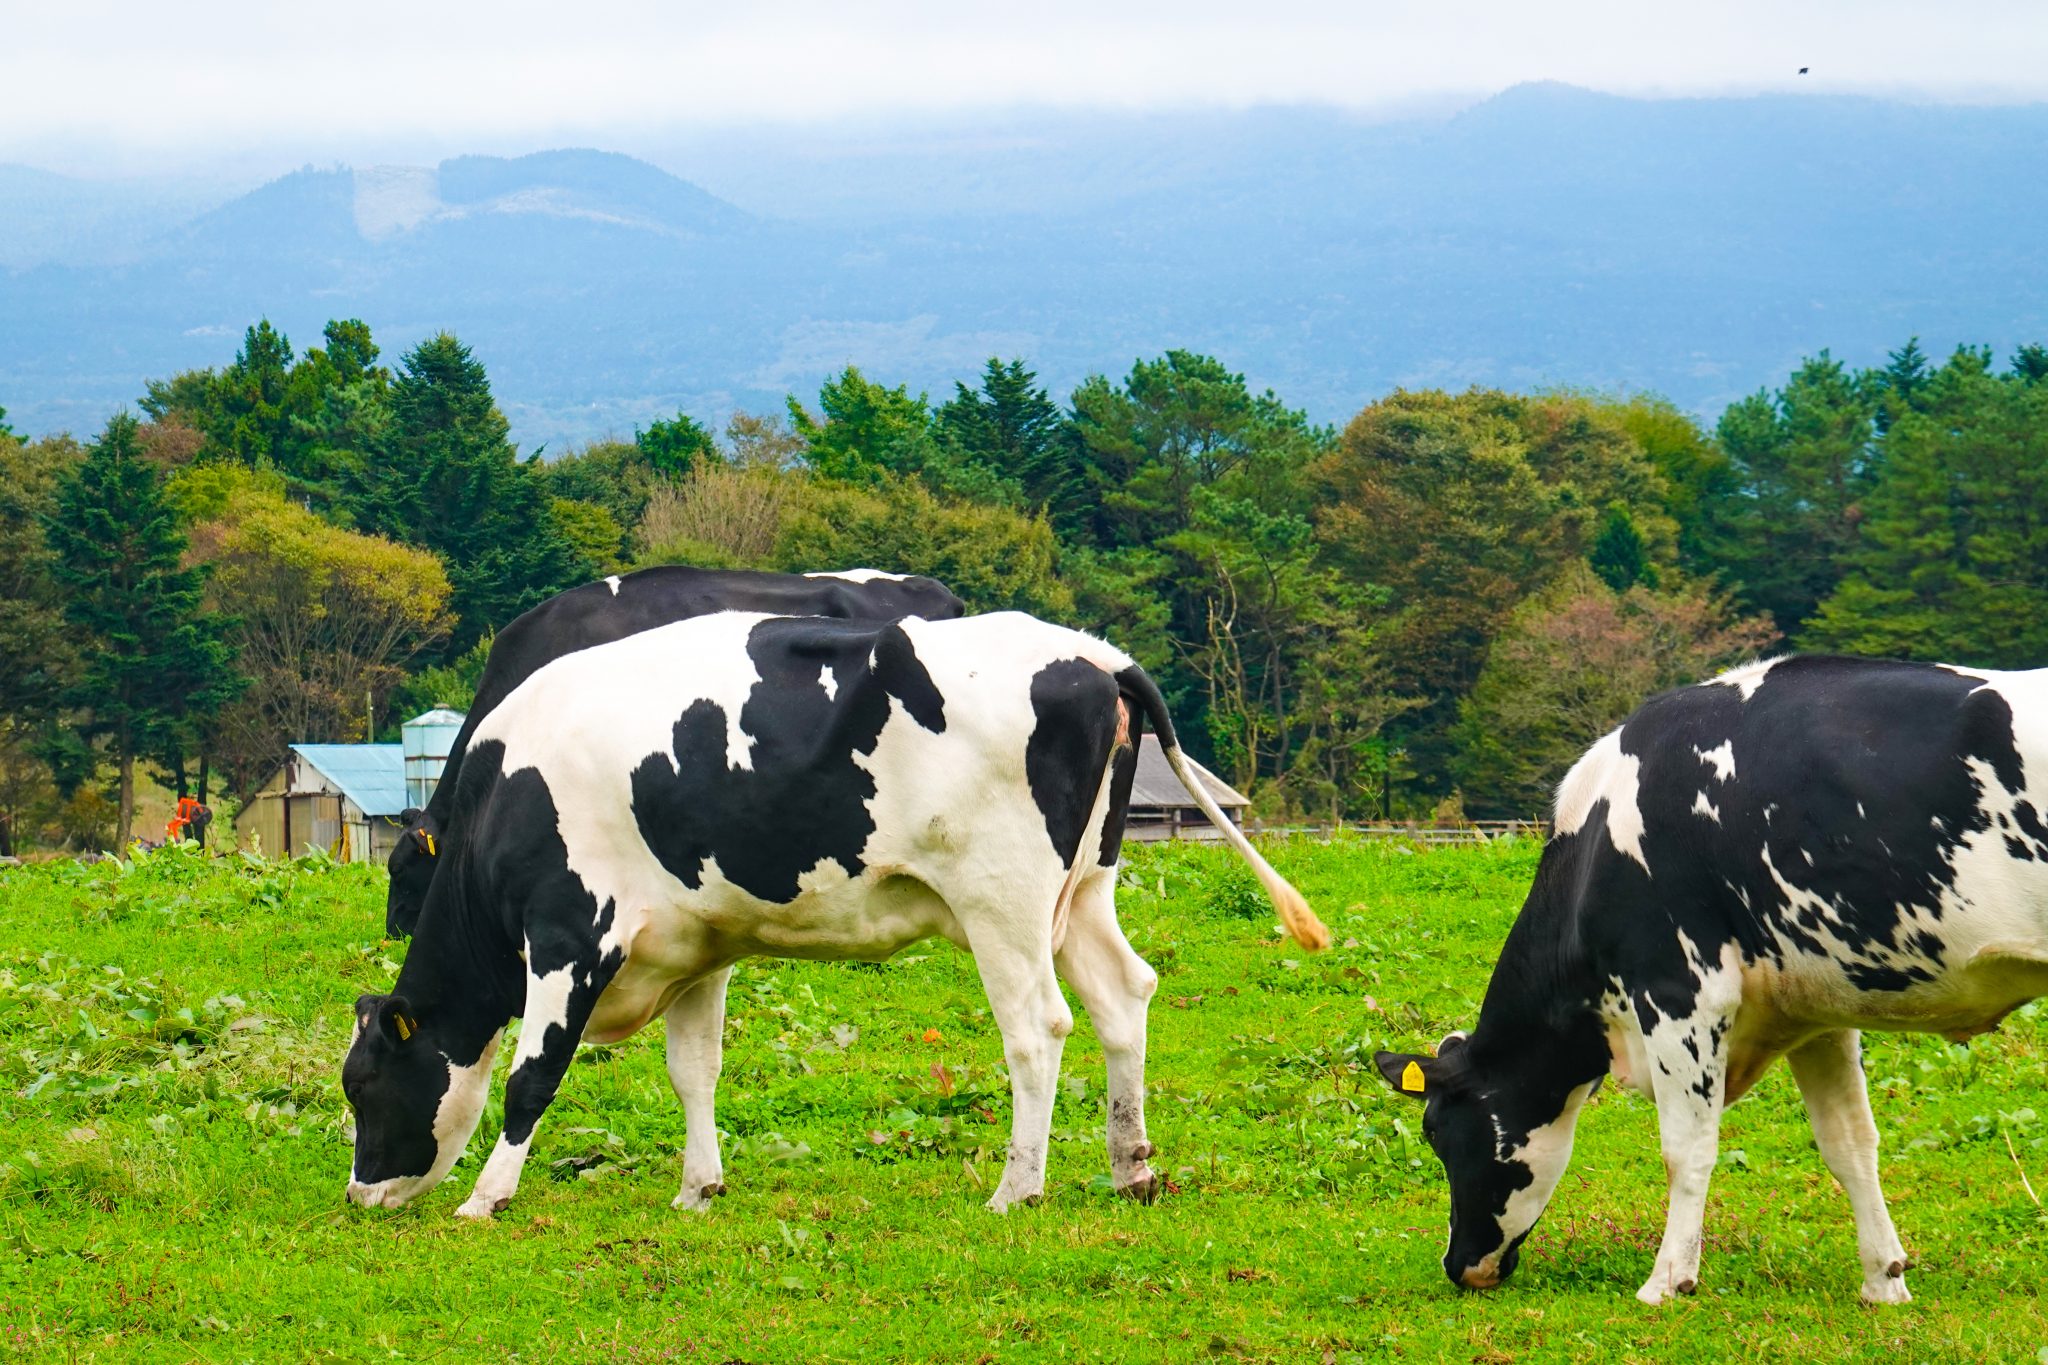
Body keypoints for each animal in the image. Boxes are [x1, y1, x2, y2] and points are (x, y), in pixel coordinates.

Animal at [344, 610, 1328, 1219]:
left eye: (363, 1085)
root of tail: (1096, 656)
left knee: (1037, 1030)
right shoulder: (697, 943)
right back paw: (1132, 1166)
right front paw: (698, 1188)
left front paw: (487, 1195)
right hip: (1083, 891)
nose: (358, 1194)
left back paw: (1017, 1188)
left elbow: (530, 1075)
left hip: (1003, 901)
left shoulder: (569, 933)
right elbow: (694, 1072)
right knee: (1124, 997)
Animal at [1374, 655, 2048, 1305]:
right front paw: (1884, 1281)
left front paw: (1668, 1281)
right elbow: (1850, 1144)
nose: (1459, 1267)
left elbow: (1686, 1150)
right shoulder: (1816, 1011)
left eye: (1434, 1130)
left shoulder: (1679, 991)